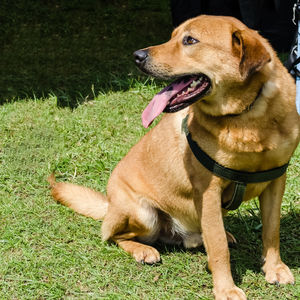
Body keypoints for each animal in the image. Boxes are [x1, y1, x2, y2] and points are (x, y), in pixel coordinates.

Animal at [48, 15, 298, 300]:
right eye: (172, 36)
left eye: (190, 40)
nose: (137, 56)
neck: (246, 118)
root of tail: (109, 205)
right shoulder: (208, 192)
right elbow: (218, 248)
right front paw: (226, 288)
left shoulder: (276, 180)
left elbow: (271, 231)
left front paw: (275, 268)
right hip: (143, 213)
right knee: (113, 236)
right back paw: (143, 250)